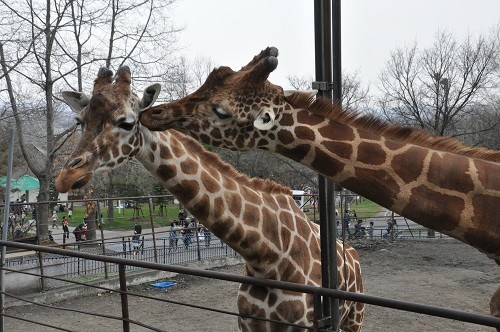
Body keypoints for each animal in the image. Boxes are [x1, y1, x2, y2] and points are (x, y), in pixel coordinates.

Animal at [53, 66, 364, 330]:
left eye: (127, 122)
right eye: (80, 121)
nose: (66, 177)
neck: (266, 255)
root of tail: (351, 251)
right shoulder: (248, 323)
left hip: (354, 318)